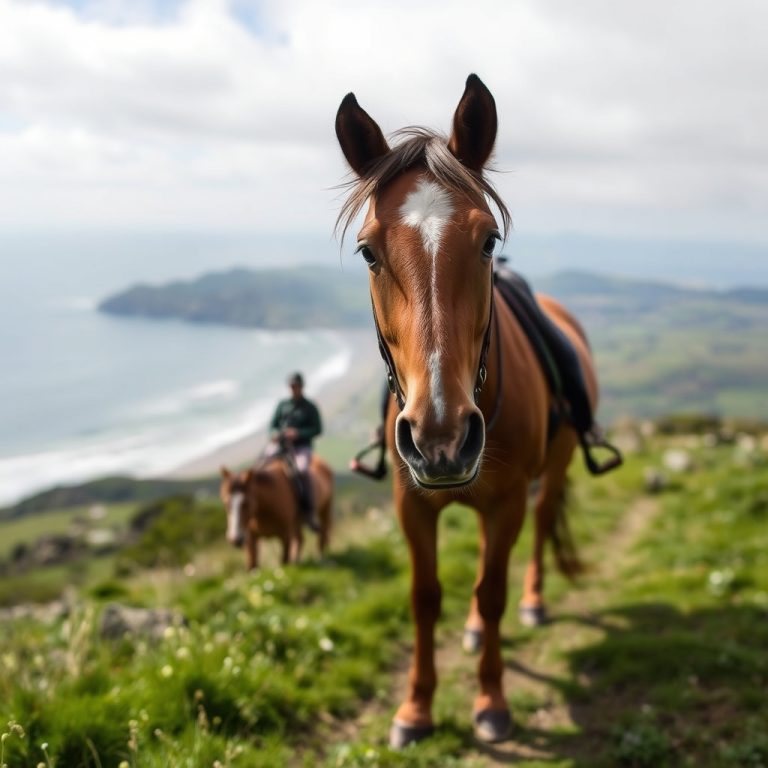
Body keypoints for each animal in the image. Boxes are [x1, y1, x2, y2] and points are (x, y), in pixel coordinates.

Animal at [335, 74, 609, 747]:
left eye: (489, 240)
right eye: (368, 253)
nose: (441, 437)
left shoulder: (506, 500)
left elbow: (492, 591)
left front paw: (491, 701)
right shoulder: (411, 505)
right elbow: (425, 596)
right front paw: (416, 708)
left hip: (554, 467)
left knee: (539, 528)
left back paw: (533, 602)